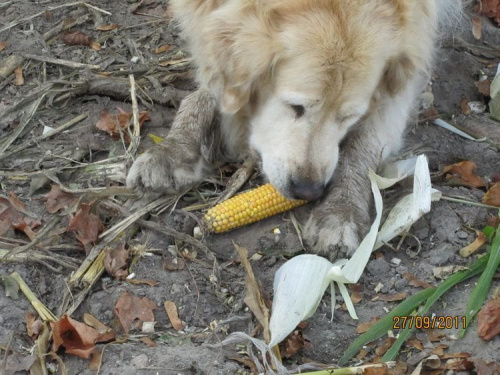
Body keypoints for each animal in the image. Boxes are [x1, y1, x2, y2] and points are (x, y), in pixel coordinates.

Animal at [127, 0, 462, 260]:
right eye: (296, 107)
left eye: (349, 117)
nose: (308, 191)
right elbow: (208, 90)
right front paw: (173, 149)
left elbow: (361, 148)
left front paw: (341, 210)